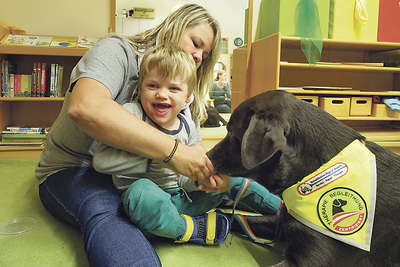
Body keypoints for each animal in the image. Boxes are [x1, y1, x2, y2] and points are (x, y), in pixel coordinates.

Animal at [208, 90, 398, 267]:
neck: (314, 171)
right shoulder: (282, 222)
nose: (207, 155)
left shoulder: (308, 260)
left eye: (232, 134)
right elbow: (236, 218)